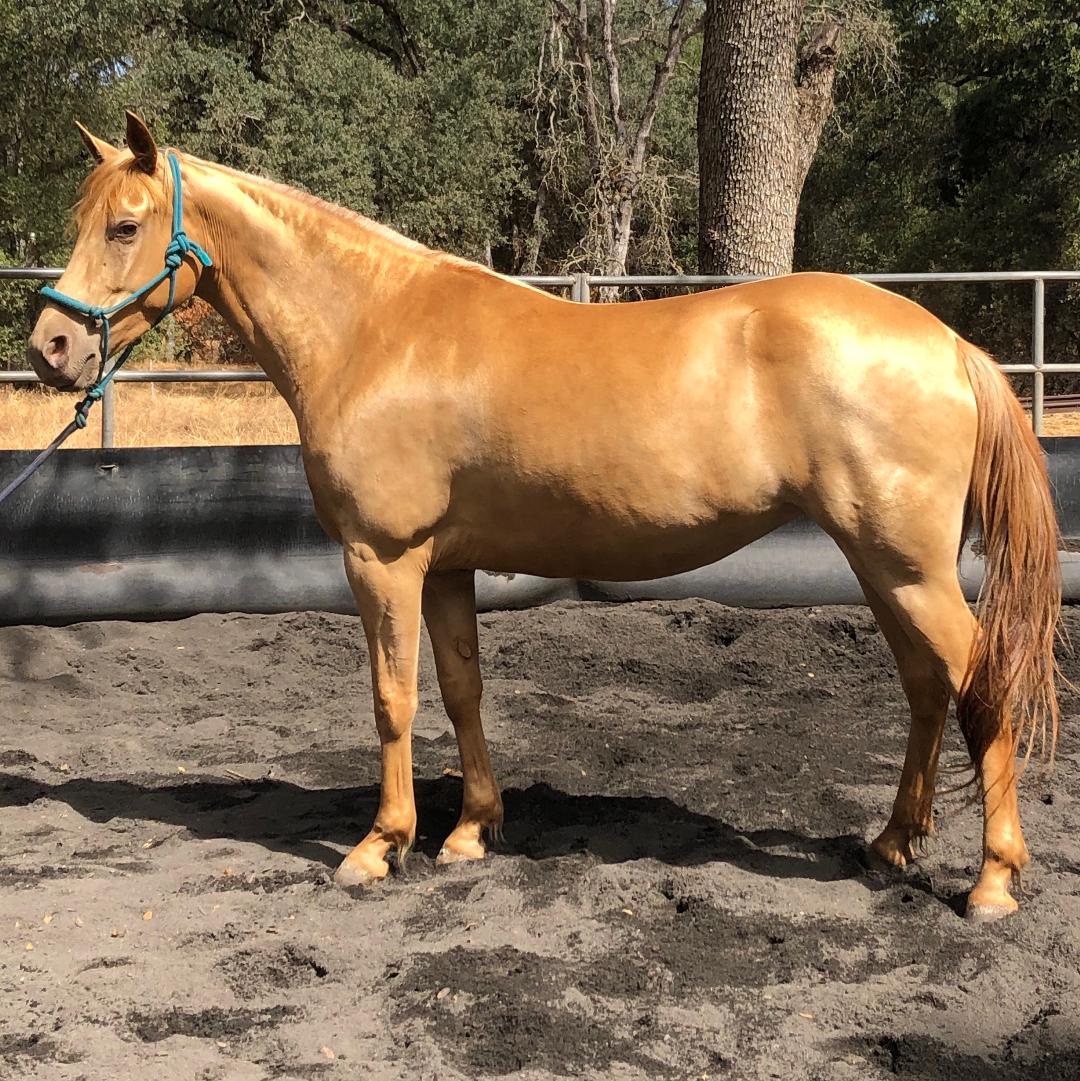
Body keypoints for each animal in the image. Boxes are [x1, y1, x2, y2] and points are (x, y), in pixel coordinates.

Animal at [27, 112, 1060, 922]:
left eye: (125, 225)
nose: (50, 347)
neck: (374, 330)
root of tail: (948, 342)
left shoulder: (382, 558)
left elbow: (392, 698)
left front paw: (379, 845)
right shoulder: (444, 565)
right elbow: (461, 689)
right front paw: (470, 832)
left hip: (907, 568)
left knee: (982, 685)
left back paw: (992, 880)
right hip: (882, 565)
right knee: (929, 688)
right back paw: (890, 844)